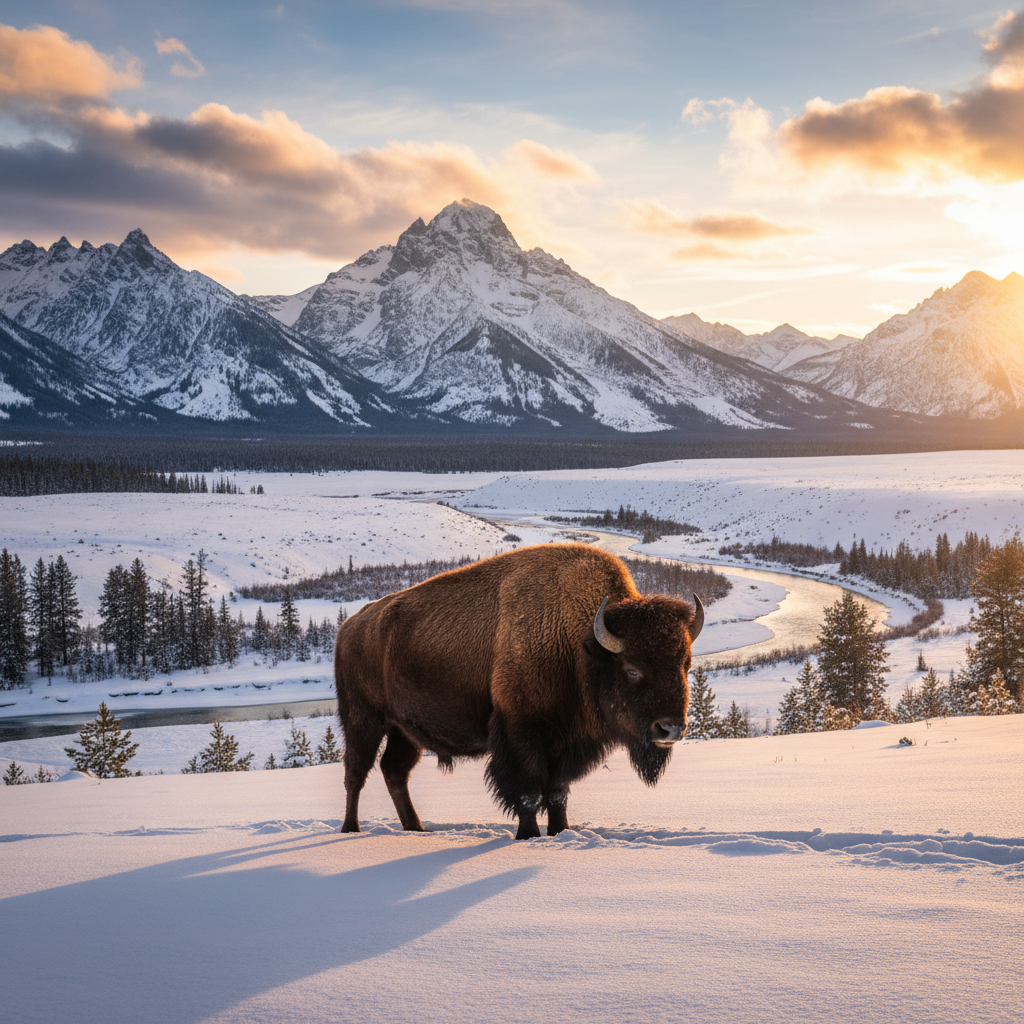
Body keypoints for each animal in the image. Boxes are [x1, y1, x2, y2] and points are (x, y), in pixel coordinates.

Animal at [334, 542, 703, 839]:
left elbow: (557, 792)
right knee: (356, 772)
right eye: (632, 669)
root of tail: (349, 626)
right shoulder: (521, 734)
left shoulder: (568, 744)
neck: (578, 645)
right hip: (364, 719)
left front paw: (559, 833)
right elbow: (528, 791)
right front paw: (528, 836)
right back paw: (351, 829)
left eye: (685, 665)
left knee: (394, 770)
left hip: (404, 730)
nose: (670, 729)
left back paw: (416, 829)